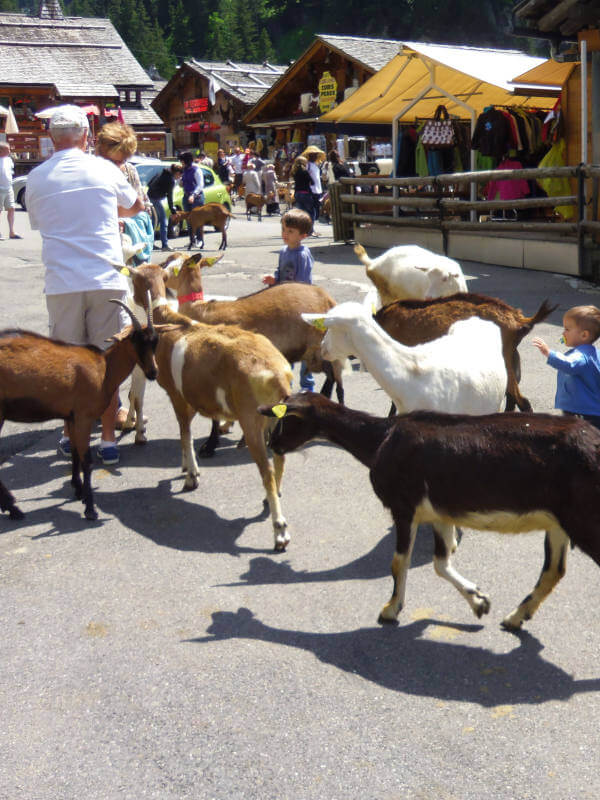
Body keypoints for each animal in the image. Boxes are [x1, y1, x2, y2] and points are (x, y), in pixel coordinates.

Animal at [0, 304, 164, 520]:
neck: (104, 368)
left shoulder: (72, 417)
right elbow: (87, 460)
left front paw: (78, 491)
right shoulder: (84, 417)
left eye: (155, 341)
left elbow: (76, 454)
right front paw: (90, 508)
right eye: (135, 340)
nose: (153, 373)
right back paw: (13, 508)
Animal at [258, 394, 600, 632]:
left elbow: (399, 563)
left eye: (286, 419)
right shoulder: (439, 512)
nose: (272, 443)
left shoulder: (403, 505)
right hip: (560, 522)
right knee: (553, 571)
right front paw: (479, 601)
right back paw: (515, 617)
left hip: (585, 519)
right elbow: (440, 562)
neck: (381, 439)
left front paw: (390, 610)